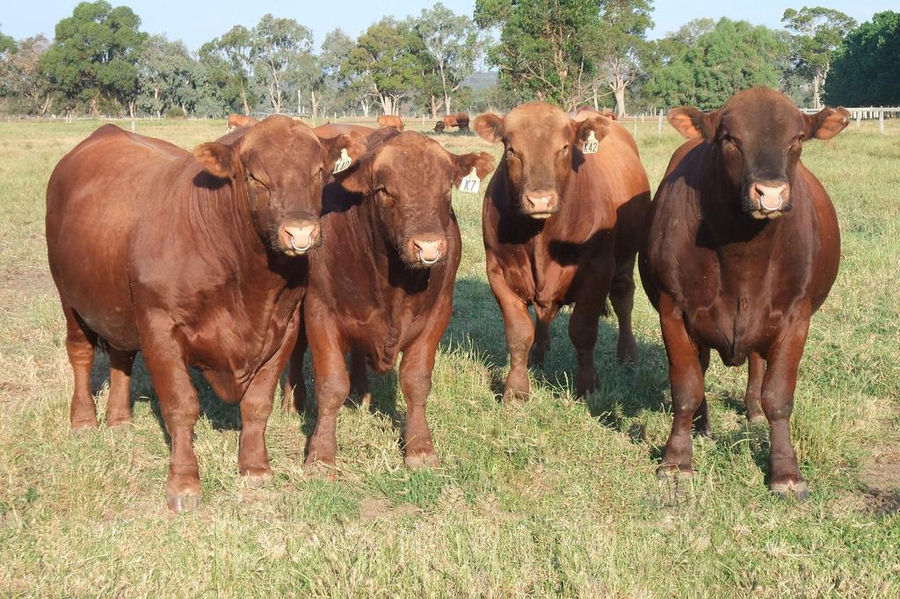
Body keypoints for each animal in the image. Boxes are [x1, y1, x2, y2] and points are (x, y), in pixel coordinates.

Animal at [45, 115, 363, 511]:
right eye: (254, 176)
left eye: (319, 171)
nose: (300, 232)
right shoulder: (159, 327)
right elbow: (181, 405)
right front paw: (184, 483)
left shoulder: (284, 328)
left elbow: (257, 403)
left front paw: (256, 467)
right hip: (69, 299)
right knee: (81, 353)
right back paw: (84, 420)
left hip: (117, 306)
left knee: (121, 354)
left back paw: (119, 419)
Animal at [282, 129, 494, 470]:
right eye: (383, 190)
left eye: (446, 188)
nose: (428, 246)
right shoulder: (319, 310)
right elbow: (330, 385)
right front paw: (321, 453)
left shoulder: (438, 313)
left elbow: (416, 381)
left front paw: (420, 447)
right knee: (295, 351)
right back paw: (292, 401)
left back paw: (361, 393)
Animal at [474, 102, 651, 402]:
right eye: (511, 150)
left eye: (565, 147)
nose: (540, 200)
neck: (539, 235)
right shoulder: (497, 271)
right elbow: (519, 333)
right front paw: (516, 389)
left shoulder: (597, 269)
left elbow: (583, 331)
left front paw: (588, 385)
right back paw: (538, 354)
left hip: (627, 257)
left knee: (623, 298)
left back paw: (629, 355)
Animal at [639, 87, 849, 498]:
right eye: (730, 139)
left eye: (797, 139)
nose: (770, 193)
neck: (744, 256)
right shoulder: (673, 311)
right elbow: (686, 388)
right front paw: (676, 462)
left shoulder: (796, 317)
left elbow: (778, 397)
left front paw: (785, 472)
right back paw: (703, 425)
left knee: (756, 365)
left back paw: (752, 412)